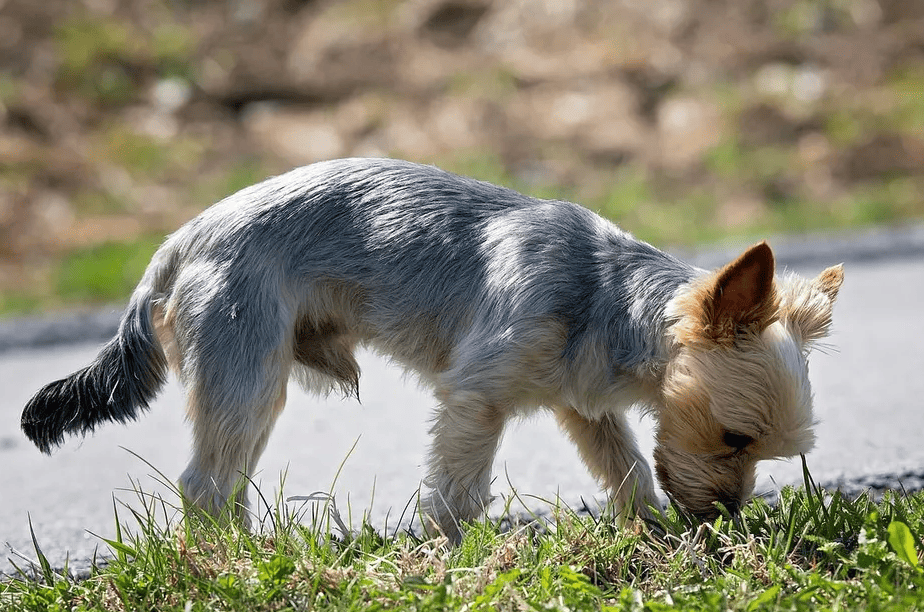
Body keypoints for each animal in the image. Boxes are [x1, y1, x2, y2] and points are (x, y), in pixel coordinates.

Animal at [21, 157, 844, 540]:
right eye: (734, 438)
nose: (726, 519)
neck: (609, 298)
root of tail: (178, 241)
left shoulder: (585, 406)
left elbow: (628, 468)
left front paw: (649, 531)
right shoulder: (476, 398)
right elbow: (457, 489)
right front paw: (450, 552)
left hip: (252, 378)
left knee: (227, 481)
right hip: (246, 366)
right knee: (204, 485)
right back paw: (234, 561)